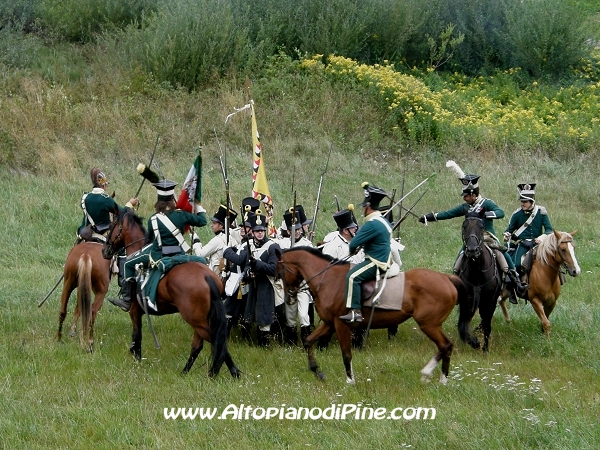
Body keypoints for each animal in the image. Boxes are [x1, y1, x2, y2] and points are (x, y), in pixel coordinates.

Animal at [103, 209, 241, 378]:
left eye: (112, 226)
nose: (105, 251)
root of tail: (206, 277)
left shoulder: (134, 310)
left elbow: (137, 336)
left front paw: (137, 360)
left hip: (195, 319)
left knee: (214, 341)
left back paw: (227, 372)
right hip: (199, 320)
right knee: (199, 345)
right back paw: (187, 372)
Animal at [276, 248, 474, 384]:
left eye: (281, 270)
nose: (289, 298)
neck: (328, 279)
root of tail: (446, 278)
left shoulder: (341, 325)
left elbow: (346, 354)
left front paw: (350, 381)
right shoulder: (329, 323)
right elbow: (308, 341)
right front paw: (317, 371)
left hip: (429, 325)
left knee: (446, 346)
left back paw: (434, 375)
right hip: (431, 325)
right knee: (445, 347)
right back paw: (438, 378)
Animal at [458, 213, 504, 354]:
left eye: (481, 226)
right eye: (464, 226)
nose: (472, 250)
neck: (477, 272)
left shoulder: (490, 301)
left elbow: (487, 325)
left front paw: (485, 349)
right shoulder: (467, 300)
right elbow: (463, 325)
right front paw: (474, 342)